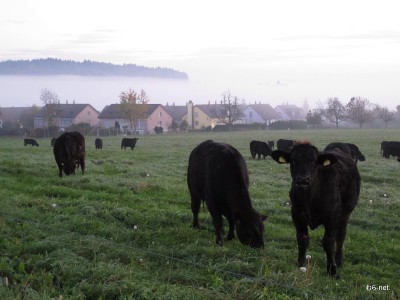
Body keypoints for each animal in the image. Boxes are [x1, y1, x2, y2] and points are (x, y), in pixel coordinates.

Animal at [272, 142, 360, 278]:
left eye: (314, 161)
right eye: (293, 161)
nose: (303, 179)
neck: (309, 198)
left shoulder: (332, 216)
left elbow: (329, 241)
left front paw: (332, 269)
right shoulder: (296, 214)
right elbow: (302, 238)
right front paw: (300, 264)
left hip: (346, 212)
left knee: (341, 235)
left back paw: (338, 260)